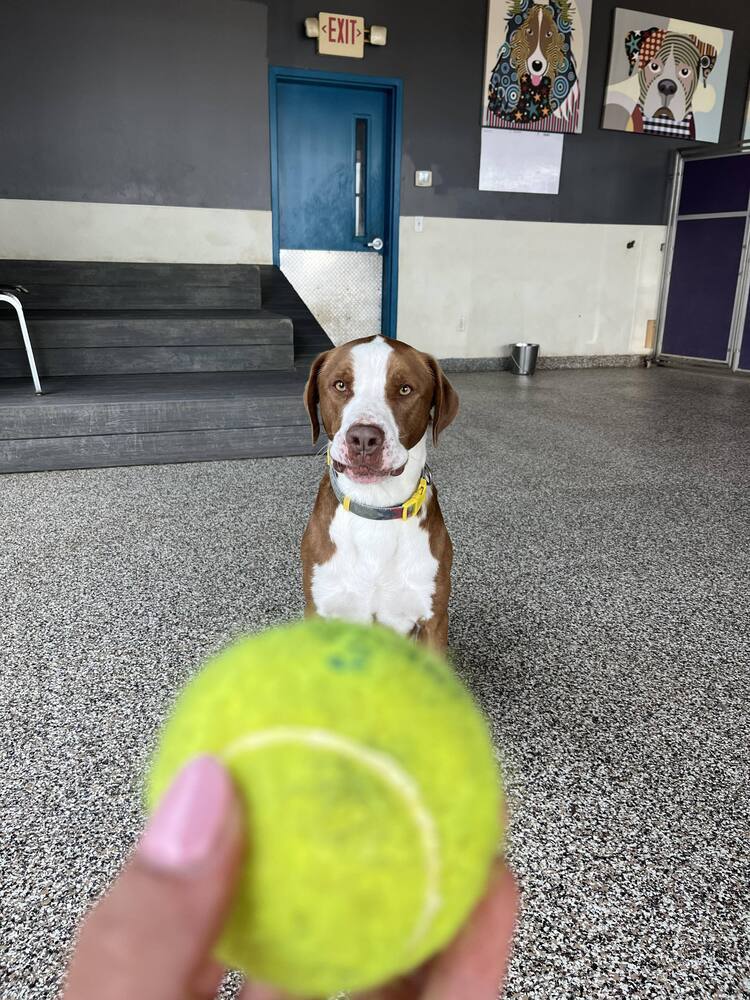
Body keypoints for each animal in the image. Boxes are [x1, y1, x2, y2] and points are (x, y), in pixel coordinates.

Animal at [304, 336, 458, 648]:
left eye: (404, 389)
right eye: (340, 385)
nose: (363, 437)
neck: (376, 508)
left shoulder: (433, 621)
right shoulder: (320, 612)